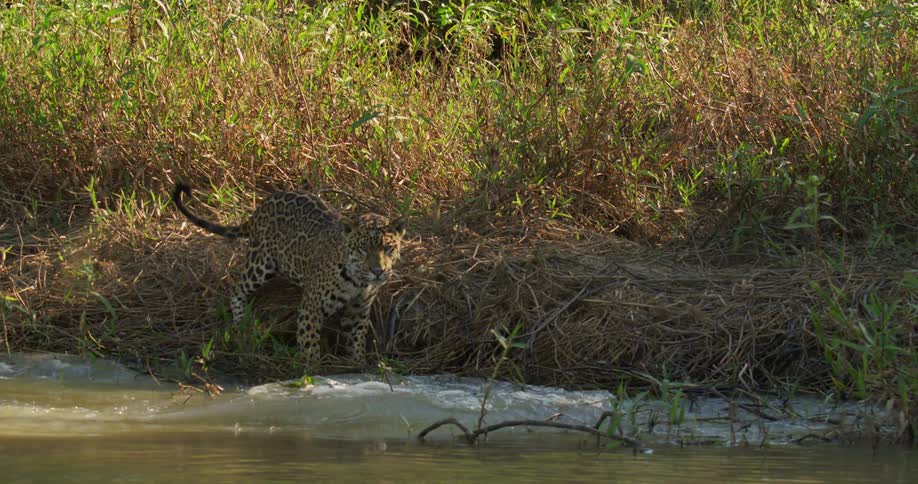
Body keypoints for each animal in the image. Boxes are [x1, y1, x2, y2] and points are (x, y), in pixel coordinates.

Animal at [172, 182, 406, 366]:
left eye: (388, 248)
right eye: (363, 249)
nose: (378, 271)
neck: (358, 281)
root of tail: (262, 205)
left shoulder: (358, 311)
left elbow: (356, 340)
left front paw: (357, 364)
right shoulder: (312, 309)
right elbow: (309, 345)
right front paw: (312, 372)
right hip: (260, 264)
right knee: (238, 289)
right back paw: (240, 323)